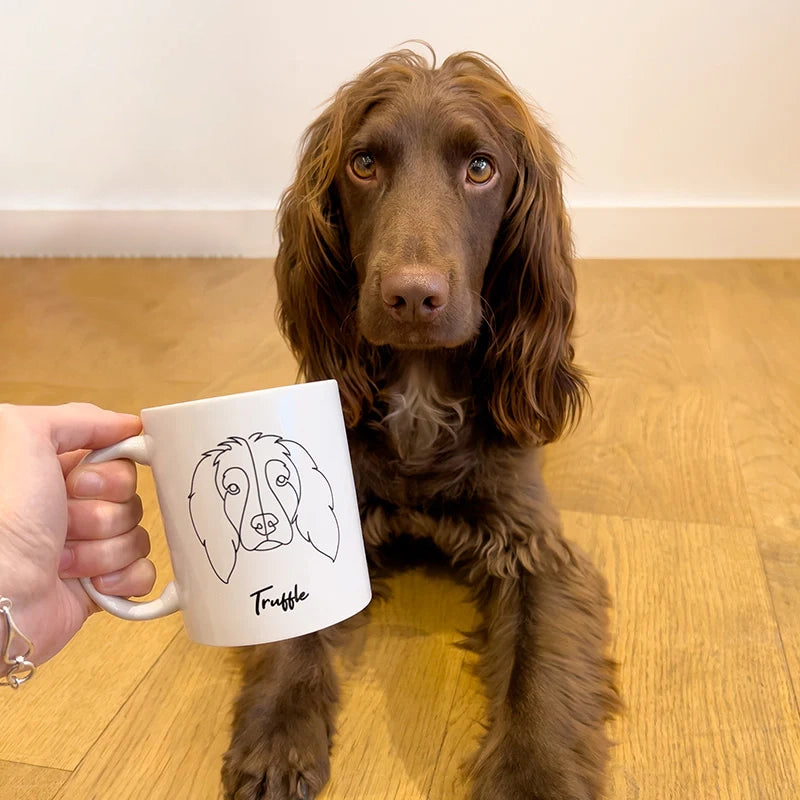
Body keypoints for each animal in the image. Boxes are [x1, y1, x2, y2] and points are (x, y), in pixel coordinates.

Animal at [222, 48, 616, 800]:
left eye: (481, 167)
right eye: (364, 163)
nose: (411, 296)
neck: (420, 389)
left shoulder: (532, 547)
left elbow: (537, 677)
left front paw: (534, 779)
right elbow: (293, 616)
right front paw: (278, 740)